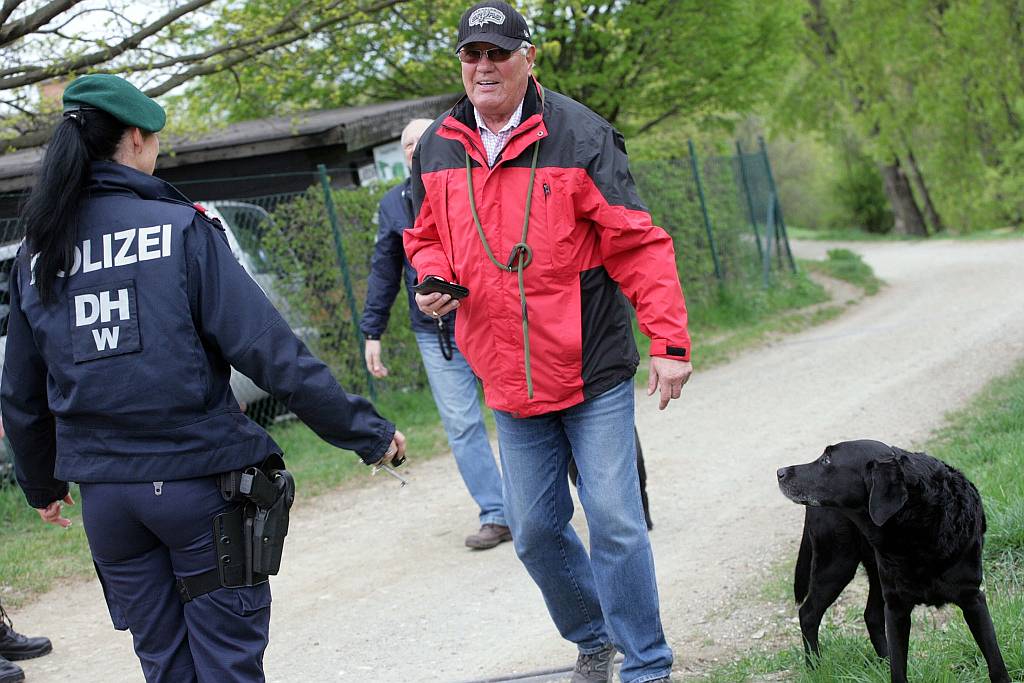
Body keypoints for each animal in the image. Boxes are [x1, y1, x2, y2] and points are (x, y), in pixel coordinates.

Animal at [774, 440, 1007, 679]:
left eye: (827, 460)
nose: (780, 472)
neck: (914, 529)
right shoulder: (897, 608)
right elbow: (899, 669)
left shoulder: (972, 598)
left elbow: (996, 662)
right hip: (836, 564)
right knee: (808, 613)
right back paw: (815, 669)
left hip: (869, 573)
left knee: (869, 615)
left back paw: (881, 662)